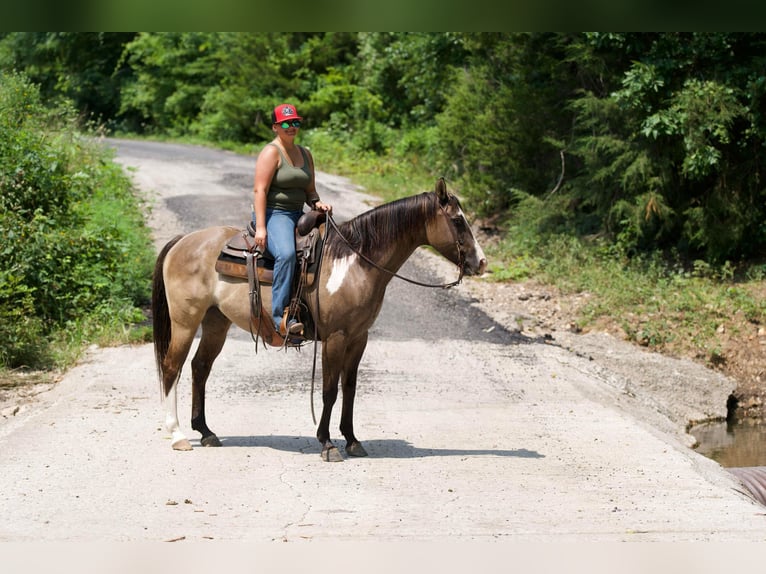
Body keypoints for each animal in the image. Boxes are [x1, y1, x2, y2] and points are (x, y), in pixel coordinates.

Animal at [151, 178, 487, 462]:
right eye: (457, 220)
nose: (482, 262)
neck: (354, 263)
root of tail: (183, 241)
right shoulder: (336, 337)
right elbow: (329, 390)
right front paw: (327, 444)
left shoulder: (359, 337)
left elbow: (350, 388)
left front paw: (352, 440)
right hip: (185, 321)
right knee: (172, 367)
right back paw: (178, 435)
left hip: (216, 322)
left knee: (200, 367)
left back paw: (206, 432)